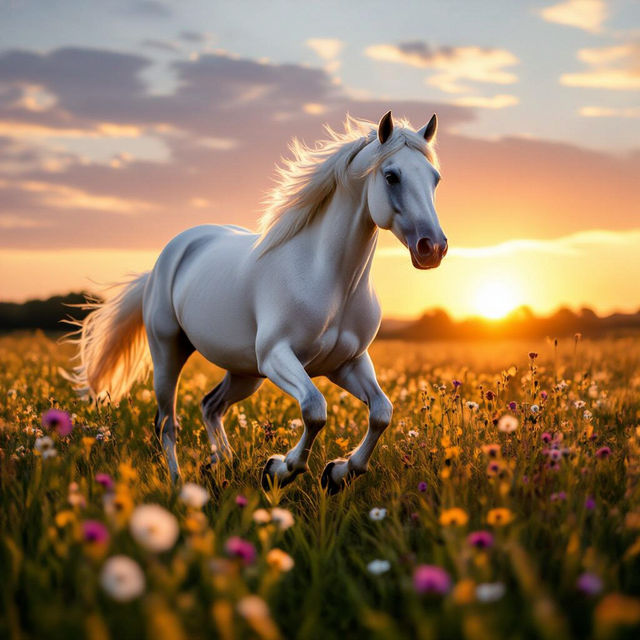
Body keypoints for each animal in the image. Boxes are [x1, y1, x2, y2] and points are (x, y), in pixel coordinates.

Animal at [67, 110, 447, 493]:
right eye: (391, 175)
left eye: (435, 178)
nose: (432, 247)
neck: (330, 279)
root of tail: (164, 261)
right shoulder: (278, 356)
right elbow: (315, 409)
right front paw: (280, 468)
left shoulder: (348, 362)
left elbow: (382, 413)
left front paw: (337, 473)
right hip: (169, 353)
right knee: (167, 423)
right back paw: (180, 483)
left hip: (246, 372)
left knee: (211, 405)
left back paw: (221, 462)